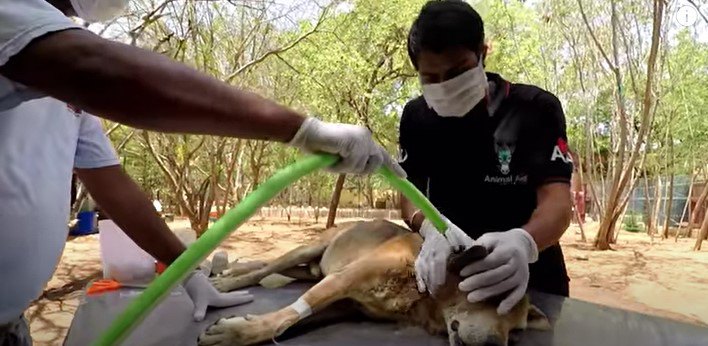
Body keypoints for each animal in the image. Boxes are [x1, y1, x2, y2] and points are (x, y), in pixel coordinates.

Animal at [196, 220, 552, 344]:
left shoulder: (345, 303)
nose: (495, 345)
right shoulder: (342, 280)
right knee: (268, 267)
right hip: (311, 248)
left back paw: (229, 272)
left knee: (276, 267)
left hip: (313, 270)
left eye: (517, 332)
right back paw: (227, 283)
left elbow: (292, 321)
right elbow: (285, 316)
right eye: (491, 297)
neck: (420, 295)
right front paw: (235, 333)